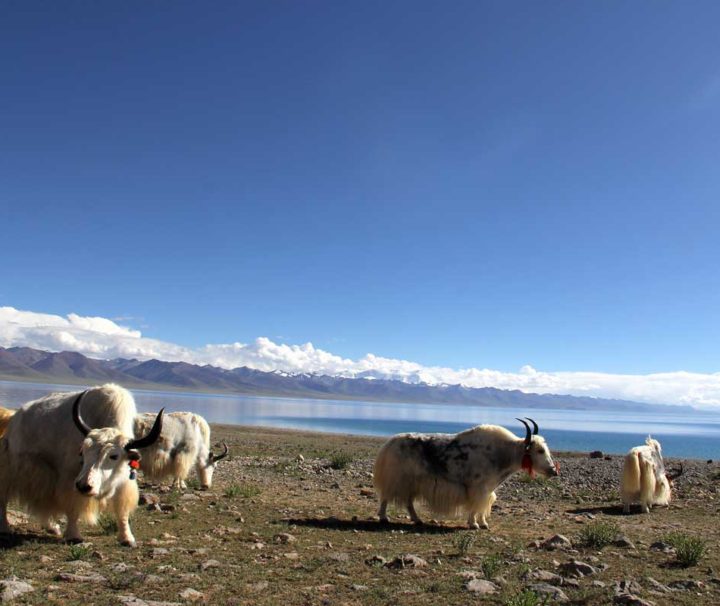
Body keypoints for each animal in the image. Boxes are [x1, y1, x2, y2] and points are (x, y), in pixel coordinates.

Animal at [374, 420, 560, 528]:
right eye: (540, 450)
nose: (553, 471)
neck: (502, 453)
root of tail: (389, 443)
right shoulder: (477, 487)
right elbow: (475, 506)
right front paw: (474, 524)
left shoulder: (487, 489)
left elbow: (483, 505)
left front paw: (483, 523)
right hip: (397, 478)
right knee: (386, 496)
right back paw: (384, 518)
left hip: (413, 482)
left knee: (408, 502)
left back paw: (417, 520)